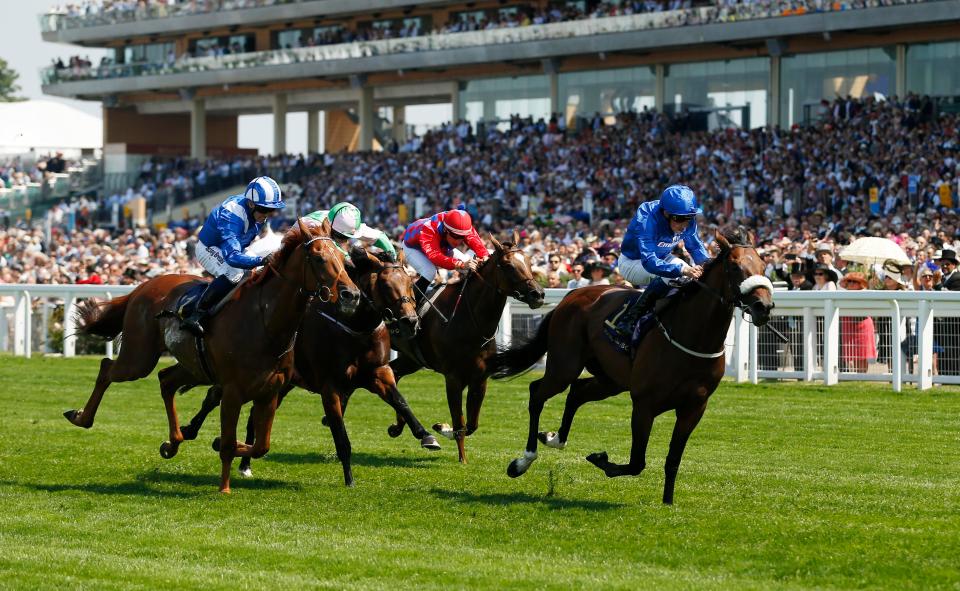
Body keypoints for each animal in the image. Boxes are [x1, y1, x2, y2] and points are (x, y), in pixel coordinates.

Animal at [63, 220, 358, 492]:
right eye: (319, 258)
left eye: (343, 257)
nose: (351, 295)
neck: (266, 322)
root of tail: (143, 286)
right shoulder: (232, 390)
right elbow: (228, 443)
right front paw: (224, 487)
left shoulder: (270, 391)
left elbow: (260, 446)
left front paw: (224, 446)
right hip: (138, 358)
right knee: (107, 368)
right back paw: (81, 417)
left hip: (193, 366)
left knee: (165, 380)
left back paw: (173, 441)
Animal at [178, 249, 440, 486]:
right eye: (385, 285)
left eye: (410, 284)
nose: (410, 322)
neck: (353, 325)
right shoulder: (330, 386)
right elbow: (340, 435)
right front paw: (349, 480)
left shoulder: (378, 373)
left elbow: (400, 400)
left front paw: (426, 435)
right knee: (214, 397)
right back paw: (192, 432)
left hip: (279, 384)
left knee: (252, 415)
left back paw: (243, 462)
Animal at [386, 234, 544, 464]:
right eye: (508, 266)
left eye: (529, 262)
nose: (538, 294)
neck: (469, 319)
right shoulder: (453, 378)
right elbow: (460, 422)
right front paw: (462, 458)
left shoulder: (480, 378)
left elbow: (471, 424)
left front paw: (442, 428)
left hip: (412, 358)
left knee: (394, 374)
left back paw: (397, 427)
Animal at [492, 230, 776, 504]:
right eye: (735, 267)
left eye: (763, 265)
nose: (764, 306)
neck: (693, 335)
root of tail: (571, 296)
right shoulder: (644, 403)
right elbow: (637, 462)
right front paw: (600, 459)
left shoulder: (694, 407)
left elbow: (673, 460)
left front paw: (668, 503)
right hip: (565, 366)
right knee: (537, 393)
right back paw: (522, 461)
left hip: (611, 380)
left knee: (577, 392)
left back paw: (554, 438)